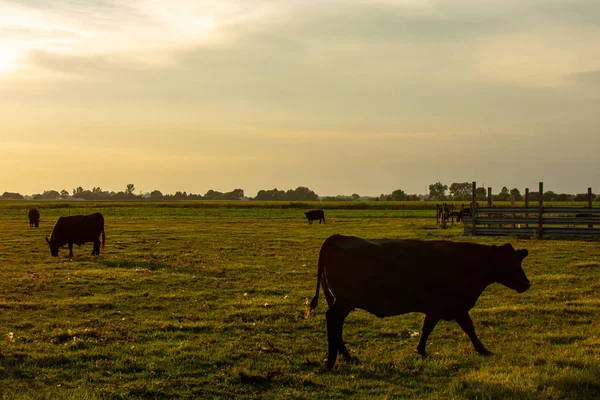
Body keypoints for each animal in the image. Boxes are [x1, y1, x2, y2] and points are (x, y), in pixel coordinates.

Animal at [310, 234, 528, 368]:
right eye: (509, 263)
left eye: (518, 261)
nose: (526, 283)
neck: (469, 263)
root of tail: (339, 238)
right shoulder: (457, 306)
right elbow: (469, 328)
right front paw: (483, 350)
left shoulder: (436, 308)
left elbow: (427, 328)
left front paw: (420, 350)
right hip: (343, 302)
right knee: (332, 321)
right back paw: (334, 359)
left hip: (339, 301)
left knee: (336, 325)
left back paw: (345, 356)